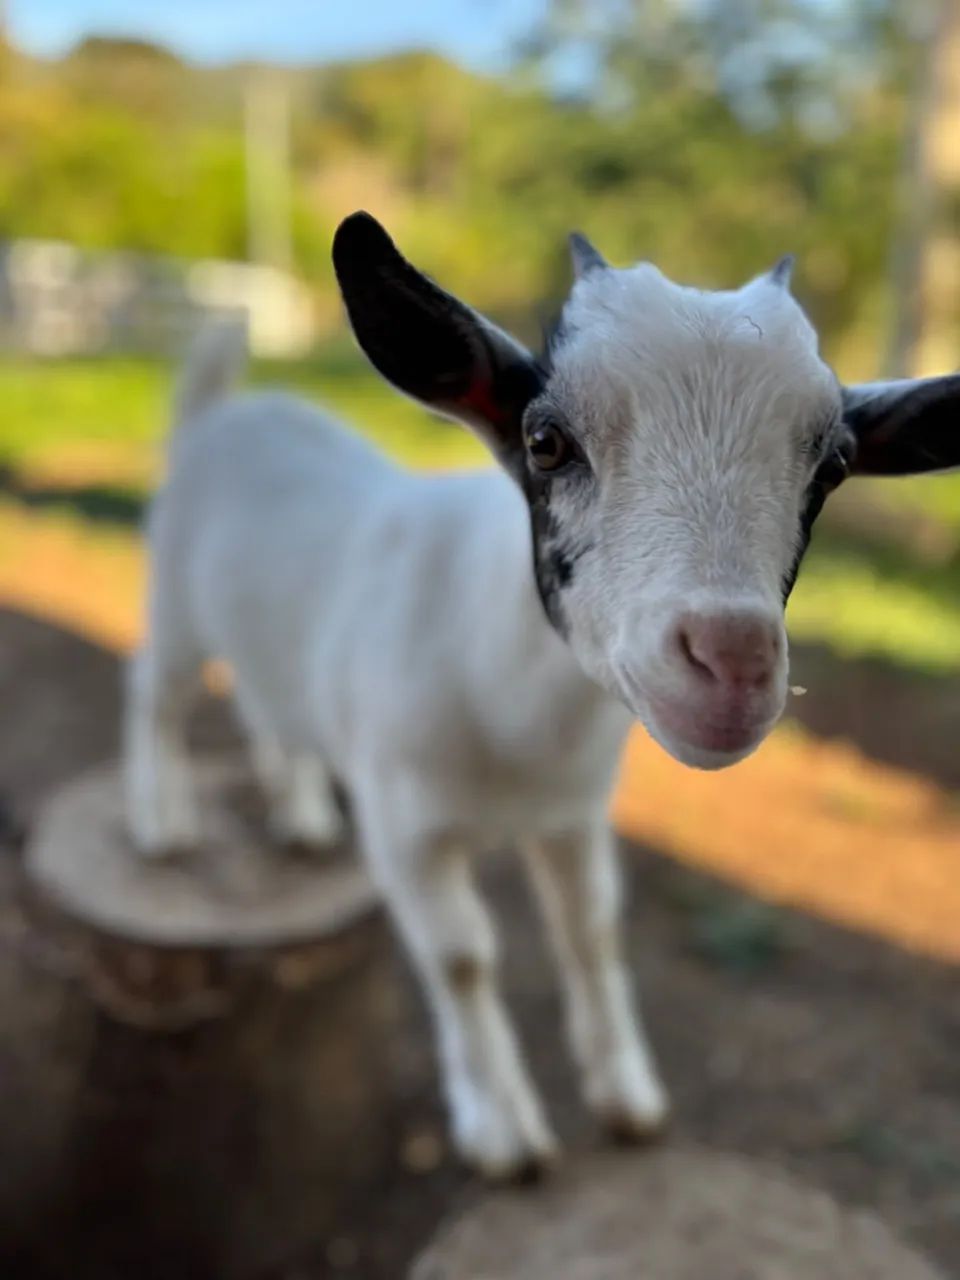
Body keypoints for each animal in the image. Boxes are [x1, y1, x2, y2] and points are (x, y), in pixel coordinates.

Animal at [126, 212, 960, 1179]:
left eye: (833, 467)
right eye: (546, 440)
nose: (732, 664)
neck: (512, 719)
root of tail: (227, 412)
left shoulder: (571, 816)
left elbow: (590, 932)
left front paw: (627, 1096)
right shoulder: (405, 825)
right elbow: (461, 959)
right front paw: (502, 1129)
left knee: (273, 709)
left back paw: (301, 816)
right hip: (175, 605)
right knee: (154, 691)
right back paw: (161, 821)